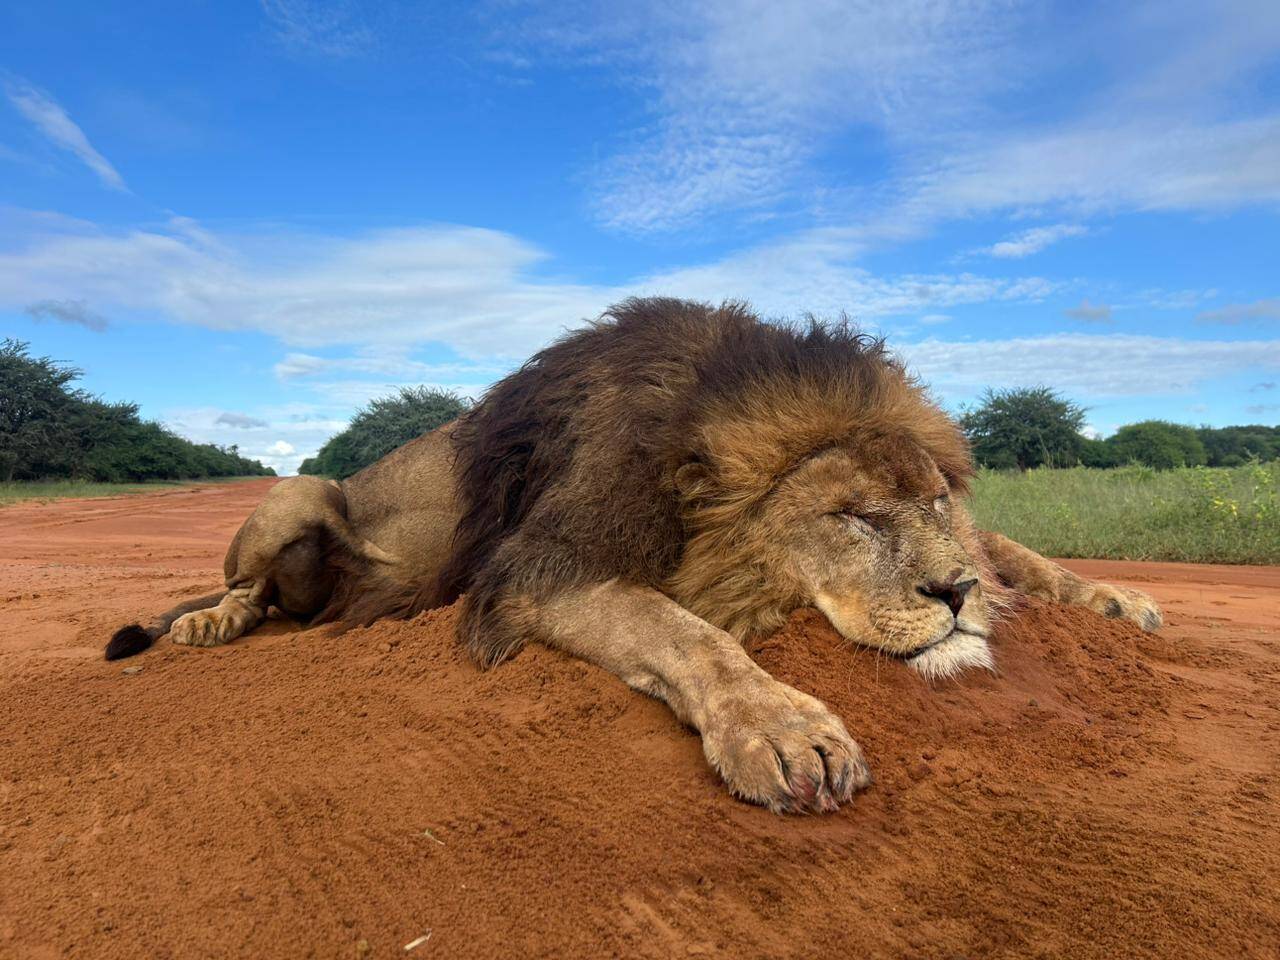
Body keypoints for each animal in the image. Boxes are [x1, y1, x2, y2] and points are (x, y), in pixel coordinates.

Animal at [105, 298, 1161, 813]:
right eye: (852, 515)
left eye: (937, 501)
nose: (955, 594)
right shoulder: (545, 568)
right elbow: (684, 632)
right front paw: (784, 728)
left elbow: (1016, 545)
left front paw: (1111, 599)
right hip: (300, 489)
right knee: (249, 589)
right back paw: (209, 623)